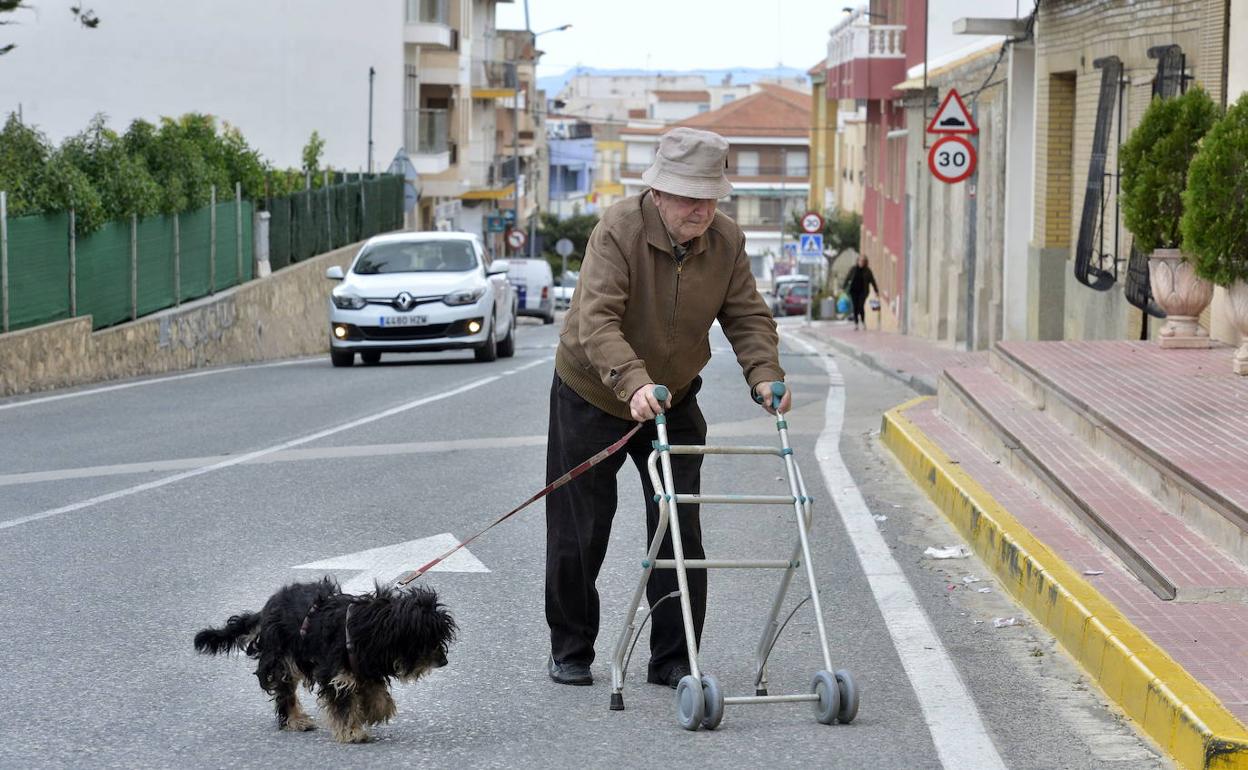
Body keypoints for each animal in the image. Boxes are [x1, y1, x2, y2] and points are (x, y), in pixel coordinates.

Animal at [189, 579, 454, 743]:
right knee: (285, 694)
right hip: (283, 658)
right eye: (429, 639)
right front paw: (352, 731)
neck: (367, 627)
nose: (444, 661)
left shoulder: (364, 666)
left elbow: (376, 693)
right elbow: (343, 703)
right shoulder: (336, 674)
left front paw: (376, 712)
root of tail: (267, 608)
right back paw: (295, 720)